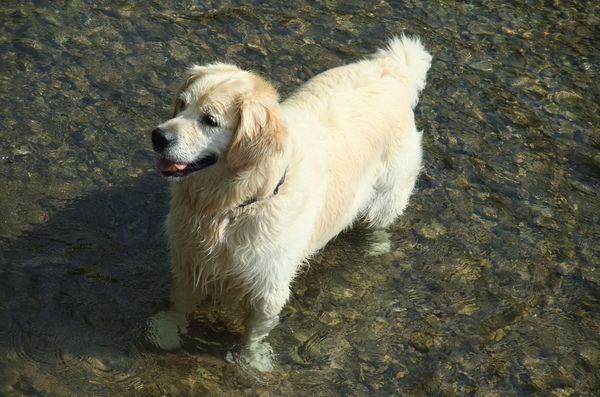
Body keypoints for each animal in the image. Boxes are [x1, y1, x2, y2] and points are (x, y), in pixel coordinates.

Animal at [149, 34, 432, 368]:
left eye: (210, 120)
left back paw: (374, 247)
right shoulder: (190, 258)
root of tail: (392, 70)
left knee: (380, 224)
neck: (231, 206)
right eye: (182, 104)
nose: (158, 136)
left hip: (389, 193)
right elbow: (181, 300)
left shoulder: (269, 287)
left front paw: (250, 361)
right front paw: (168, 330)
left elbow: (255, 331)